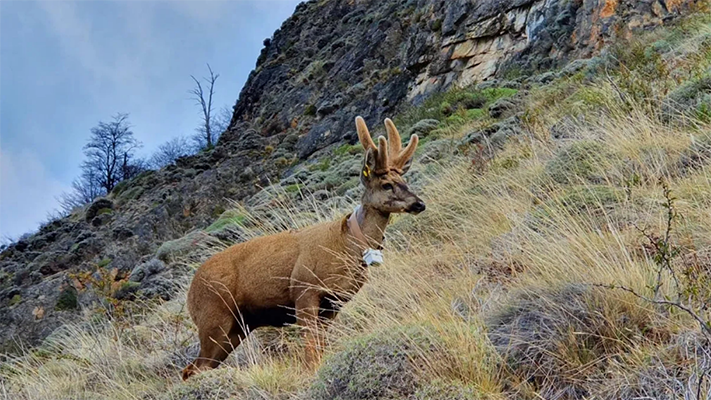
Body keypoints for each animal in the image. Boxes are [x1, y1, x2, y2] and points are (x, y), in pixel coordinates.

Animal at [184, 117, 426, 380]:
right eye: (386, 185)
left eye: (404, 181)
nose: (419, 204)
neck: (347, 243)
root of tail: (190, 292)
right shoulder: (304, 290)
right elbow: (310, 348)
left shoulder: (334, 303)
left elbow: (321, 345)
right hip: (214, 317)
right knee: (193, 368)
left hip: (237, 328)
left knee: (194, 368)